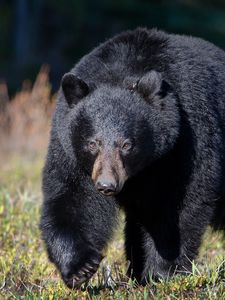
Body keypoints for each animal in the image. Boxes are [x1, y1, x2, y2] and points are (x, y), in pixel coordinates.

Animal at [40, 28, 225, 288]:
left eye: (127, 144)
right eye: (93, 143)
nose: (106, 185)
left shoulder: (186, 140)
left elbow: (180, 204)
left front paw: (161, 272)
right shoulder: (70, 149)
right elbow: (73, 197)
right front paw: (80, 267)